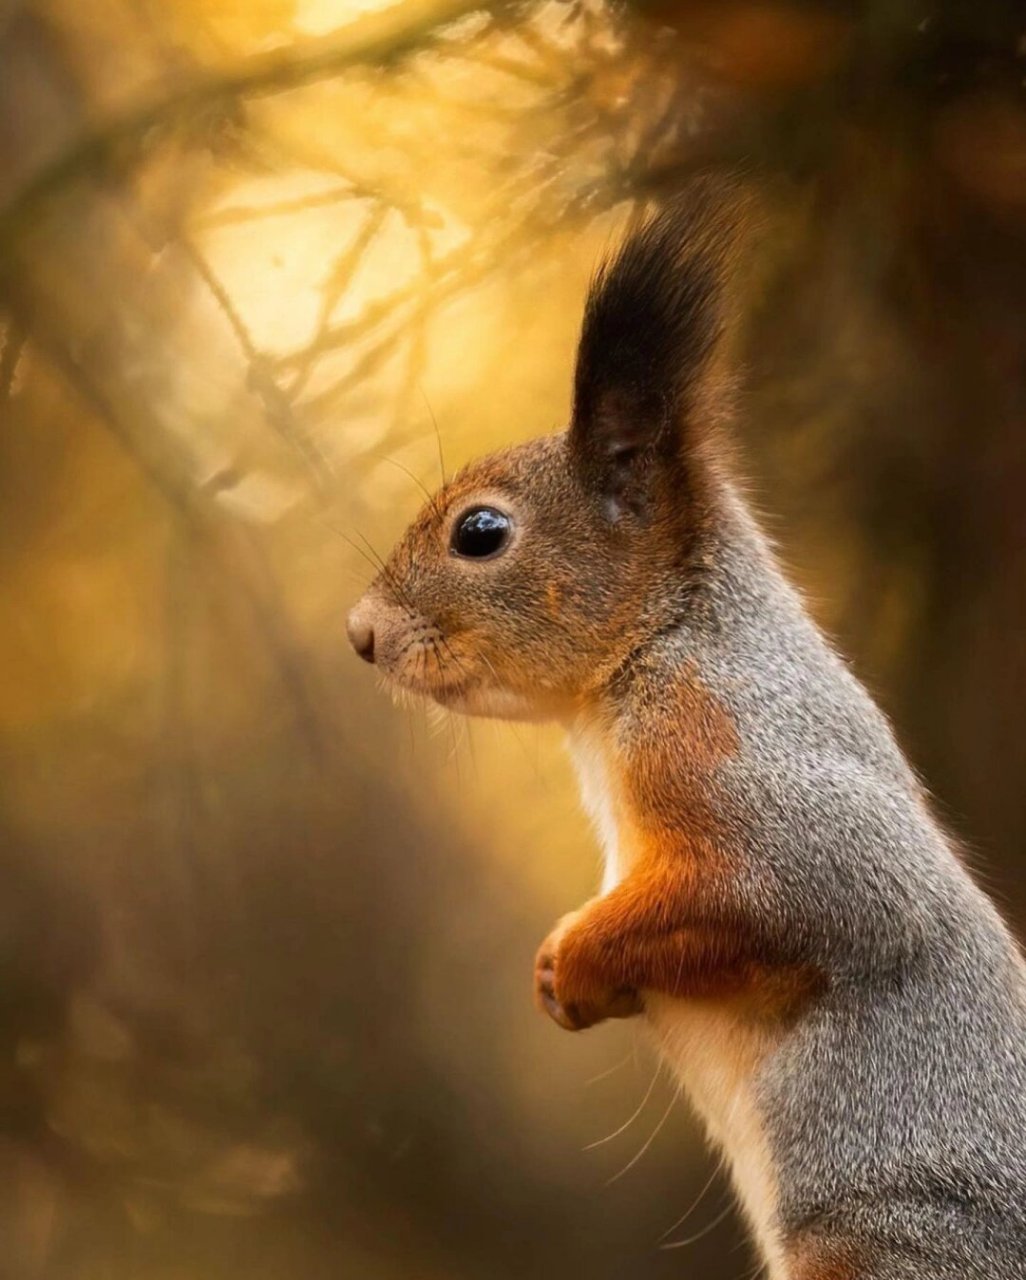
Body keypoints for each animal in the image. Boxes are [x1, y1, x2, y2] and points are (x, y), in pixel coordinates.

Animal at [342, 177, 1023, 1280]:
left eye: (480, 532)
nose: (360, 635)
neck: (659, 644)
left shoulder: (738, 751)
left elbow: (800, 895)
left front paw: (573, 958)